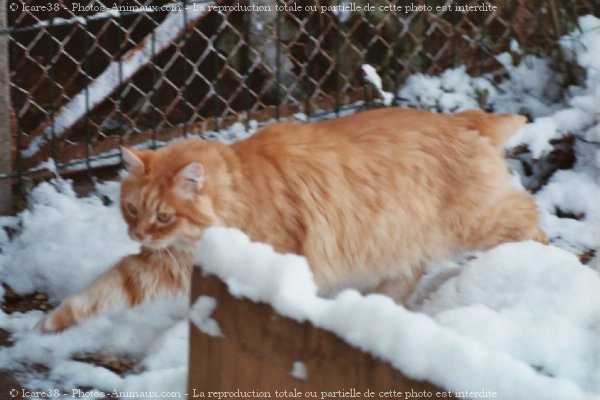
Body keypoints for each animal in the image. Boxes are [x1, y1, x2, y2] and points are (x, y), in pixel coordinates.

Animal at [35, 108, 548, 332]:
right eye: (132, 209)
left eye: (162, 215)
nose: (137, 233)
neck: (238, 192)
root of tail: (464, 117)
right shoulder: (168, 263)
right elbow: (111, 285)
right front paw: (55, 322)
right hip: (392, 238)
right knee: (408, 271)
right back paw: (375, 309)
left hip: (480, 221)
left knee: (531, 218)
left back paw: (540, 269)